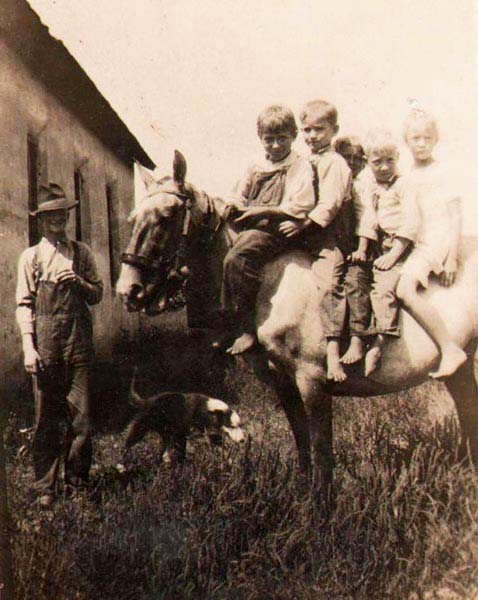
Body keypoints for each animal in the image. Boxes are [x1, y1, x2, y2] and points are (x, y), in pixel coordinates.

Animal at [116, 151, 478, 488]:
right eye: (132, 218)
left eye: (167, 216)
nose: (128, 289)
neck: (270, 286)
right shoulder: (284, 384)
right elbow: (303, 445)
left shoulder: (312, 381)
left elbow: (321, 453)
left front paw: (322, 507)